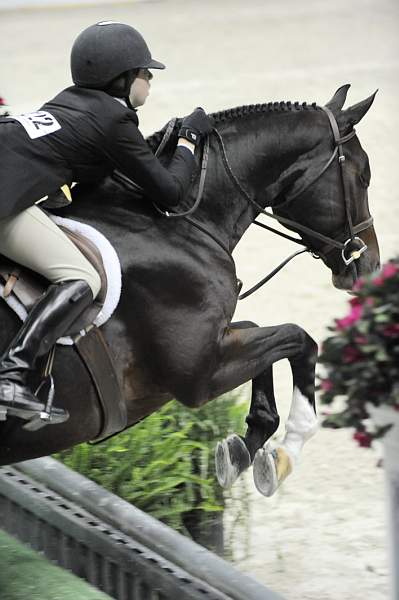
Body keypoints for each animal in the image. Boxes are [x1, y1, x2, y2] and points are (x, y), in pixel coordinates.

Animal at [0, 84, 382, 494]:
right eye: (363, 176)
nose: (371, 265)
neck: (172, 222)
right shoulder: (200, 375)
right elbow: (299, 338)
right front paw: (284, 453)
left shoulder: (217, 344)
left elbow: (257, 330)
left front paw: (242, 451)